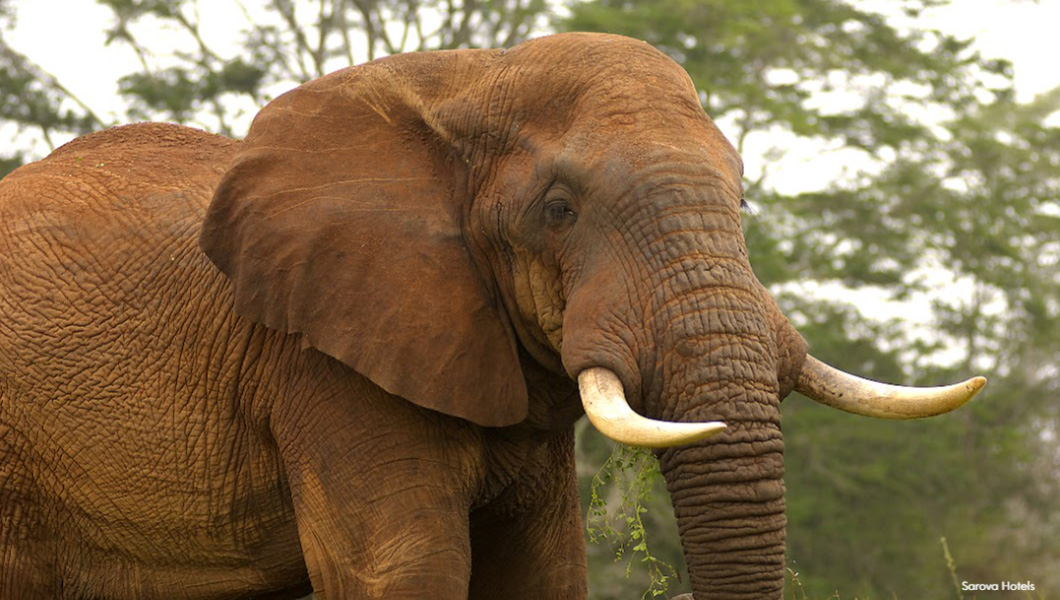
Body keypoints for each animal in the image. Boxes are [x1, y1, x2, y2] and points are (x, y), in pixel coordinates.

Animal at [0, 34, 983, 600]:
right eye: (559, 209)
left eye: (742, 198)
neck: (463, 85)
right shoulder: (324, 363)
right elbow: (406, 570)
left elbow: (541, 573)